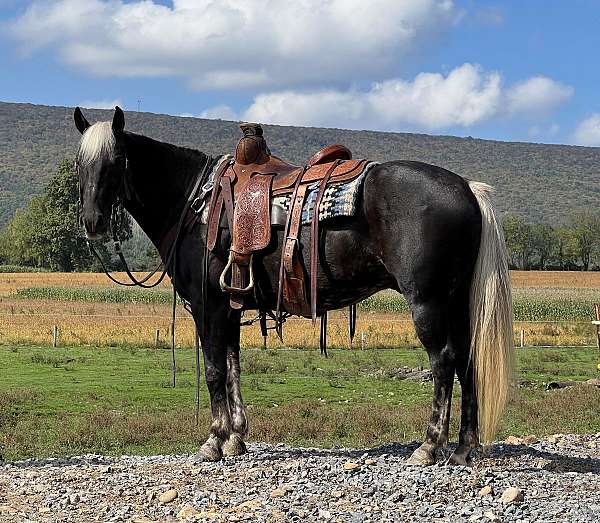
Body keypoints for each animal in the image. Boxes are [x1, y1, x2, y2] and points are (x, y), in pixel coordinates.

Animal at [72, 106, 512, 466]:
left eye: (116, 160)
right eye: (80, 162)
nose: (93, 222)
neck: (192, 203)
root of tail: (466, 188)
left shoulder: (207, 305)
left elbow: (214, 370)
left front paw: (214, 441)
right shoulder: (230, 306)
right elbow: (232, 367)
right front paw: (237, 438)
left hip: (428, 301)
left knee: (444, 361)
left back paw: (429, 445)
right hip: (456, 301)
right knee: (468, 359)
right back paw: (464, 447)